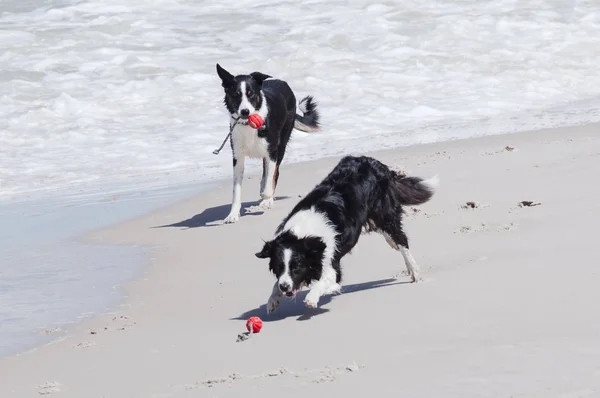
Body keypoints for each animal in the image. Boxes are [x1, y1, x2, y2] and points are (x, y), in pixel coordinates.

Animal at [214, 63, 318, 222]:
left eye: (250, 93)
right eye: (236, 94)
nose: (244, 111)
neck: (248, 125)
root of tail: (282, 82)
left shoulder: (272, 152)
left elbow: (270, 179)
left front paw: (266, 198)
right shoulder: (237, 157)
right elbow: (236, 190)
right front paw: (233, 215)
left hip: (281, 144)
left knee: (275, 173)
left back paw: (266, 199)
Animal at [255, 155, 438, 310]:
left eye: (297, 267)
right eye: (278, 267)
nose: (285, 286)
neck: (301, 234)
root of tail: (377, 163)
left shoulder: (331, 261)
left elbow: (327, 280)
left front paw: (312, 298)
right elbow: (276, 284)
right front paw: (272, 300)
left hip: (385, 214)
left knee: (401, 239)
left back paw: (414, 271)